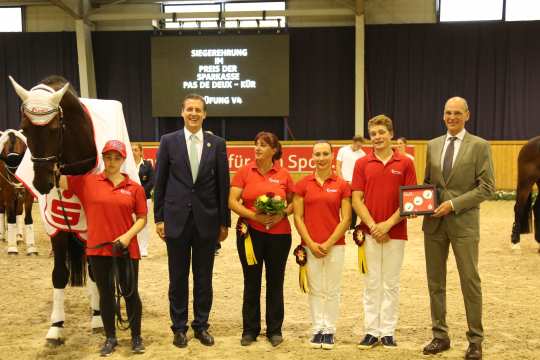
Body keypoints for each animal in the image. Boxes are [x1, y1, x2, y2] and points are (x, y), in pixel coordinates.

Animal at [8, 76, 102, 346]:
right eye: (25, 129)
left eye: (53, 129)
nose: (41, 183)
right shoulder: (58, 227)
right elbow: (59, 274)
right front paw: (56, 326)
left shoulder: (91, 226)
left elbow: (95, 271)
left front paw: (98, 318)